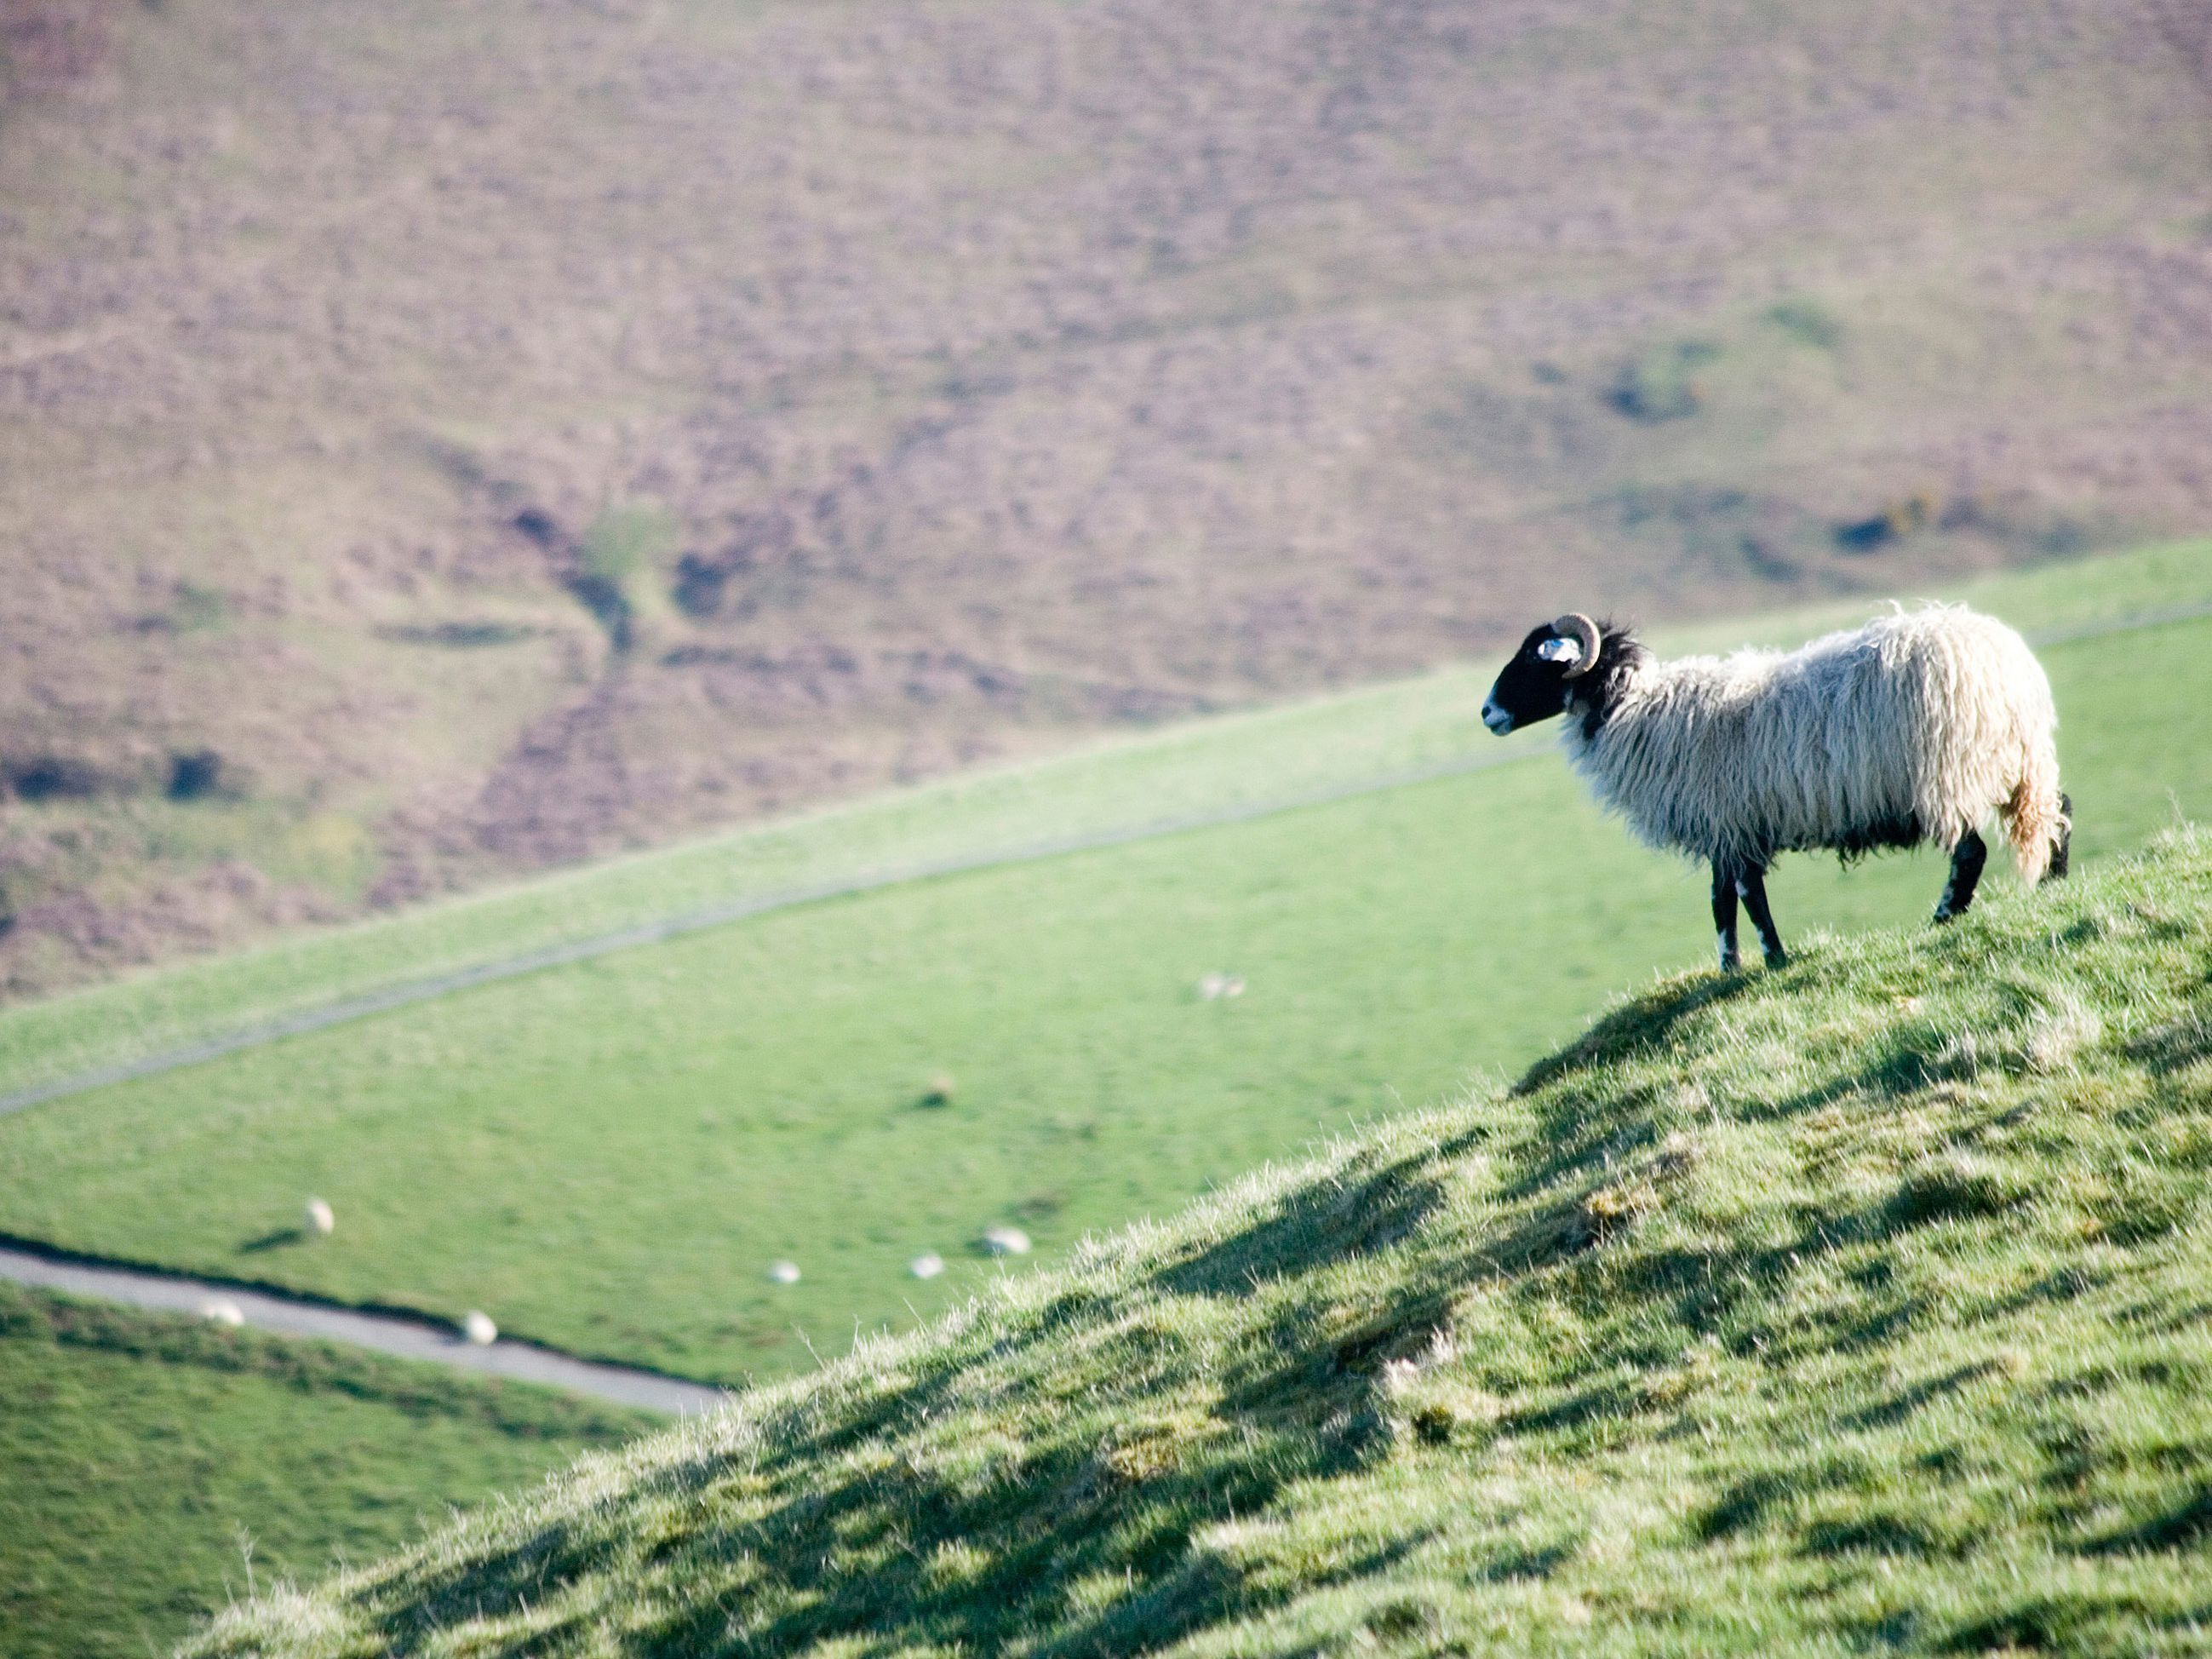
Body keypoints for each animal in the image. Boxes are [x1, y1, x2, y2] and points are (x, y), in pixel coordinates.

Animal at [1480, 605, 2071, 971]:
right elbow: (1720, 902)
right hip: (2023, 764)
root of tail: (2010, 667)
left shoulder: (1734, 823)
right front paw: (1730, 968)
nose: (1486, 713)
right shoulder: (1722, 829)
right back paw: (2053, 887)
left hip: (1948, 772)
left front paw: (1773, 959)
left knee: (1969, 851)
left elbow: (1746, 896)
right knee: (2057, 813)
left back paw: (1943, 917)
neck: (1636, 708)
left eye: (1535, 658)